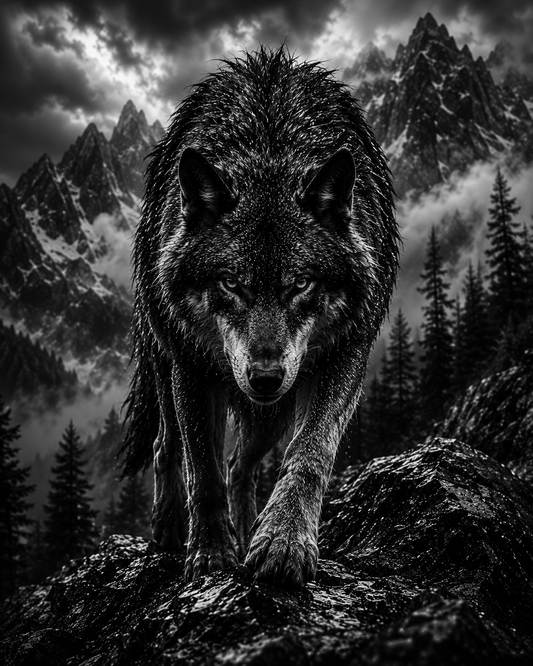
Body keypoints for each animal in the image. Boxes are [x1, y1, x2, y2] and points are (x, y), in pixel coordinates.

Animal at [122, 46, 399, 588]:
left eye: (300, 284)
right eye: (232, 284)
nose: (265, 377)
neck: (270, 149)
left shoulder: (345, 353)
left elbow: (309, 454)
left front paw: (282, 541)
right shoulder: (193, 364)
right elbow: (202, 468)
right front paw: (210, 553)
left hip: (272, 412)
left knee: (240, 465)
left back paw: (249, 526)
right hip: (168, 364)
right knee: (168, 447)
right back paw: (169, 529)